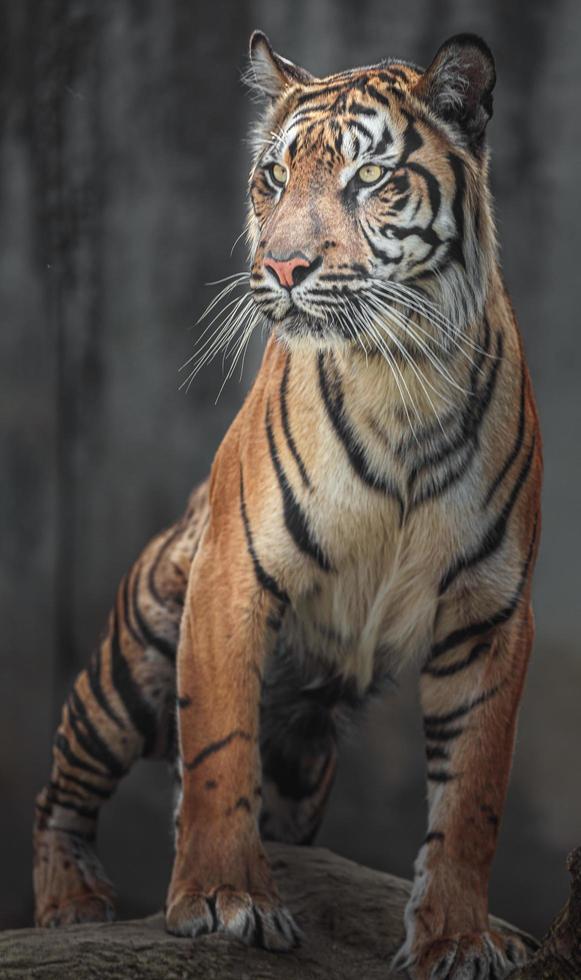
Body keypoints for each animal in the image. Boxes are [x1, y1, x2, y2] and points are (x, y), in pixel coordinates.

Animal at [32, 26, 540, 976]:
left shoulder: (490, 612)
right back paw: (71, 905)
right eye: (272, 174)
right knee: (63, 786)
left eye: (370, 177)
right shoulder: (234, 571)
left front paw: (456, 936)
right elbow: (220, 747)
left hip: (305, 770)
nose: (282, 266)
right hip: (136, 652)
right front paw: (224, 899)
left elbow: (472, 799)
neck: (400, 379)